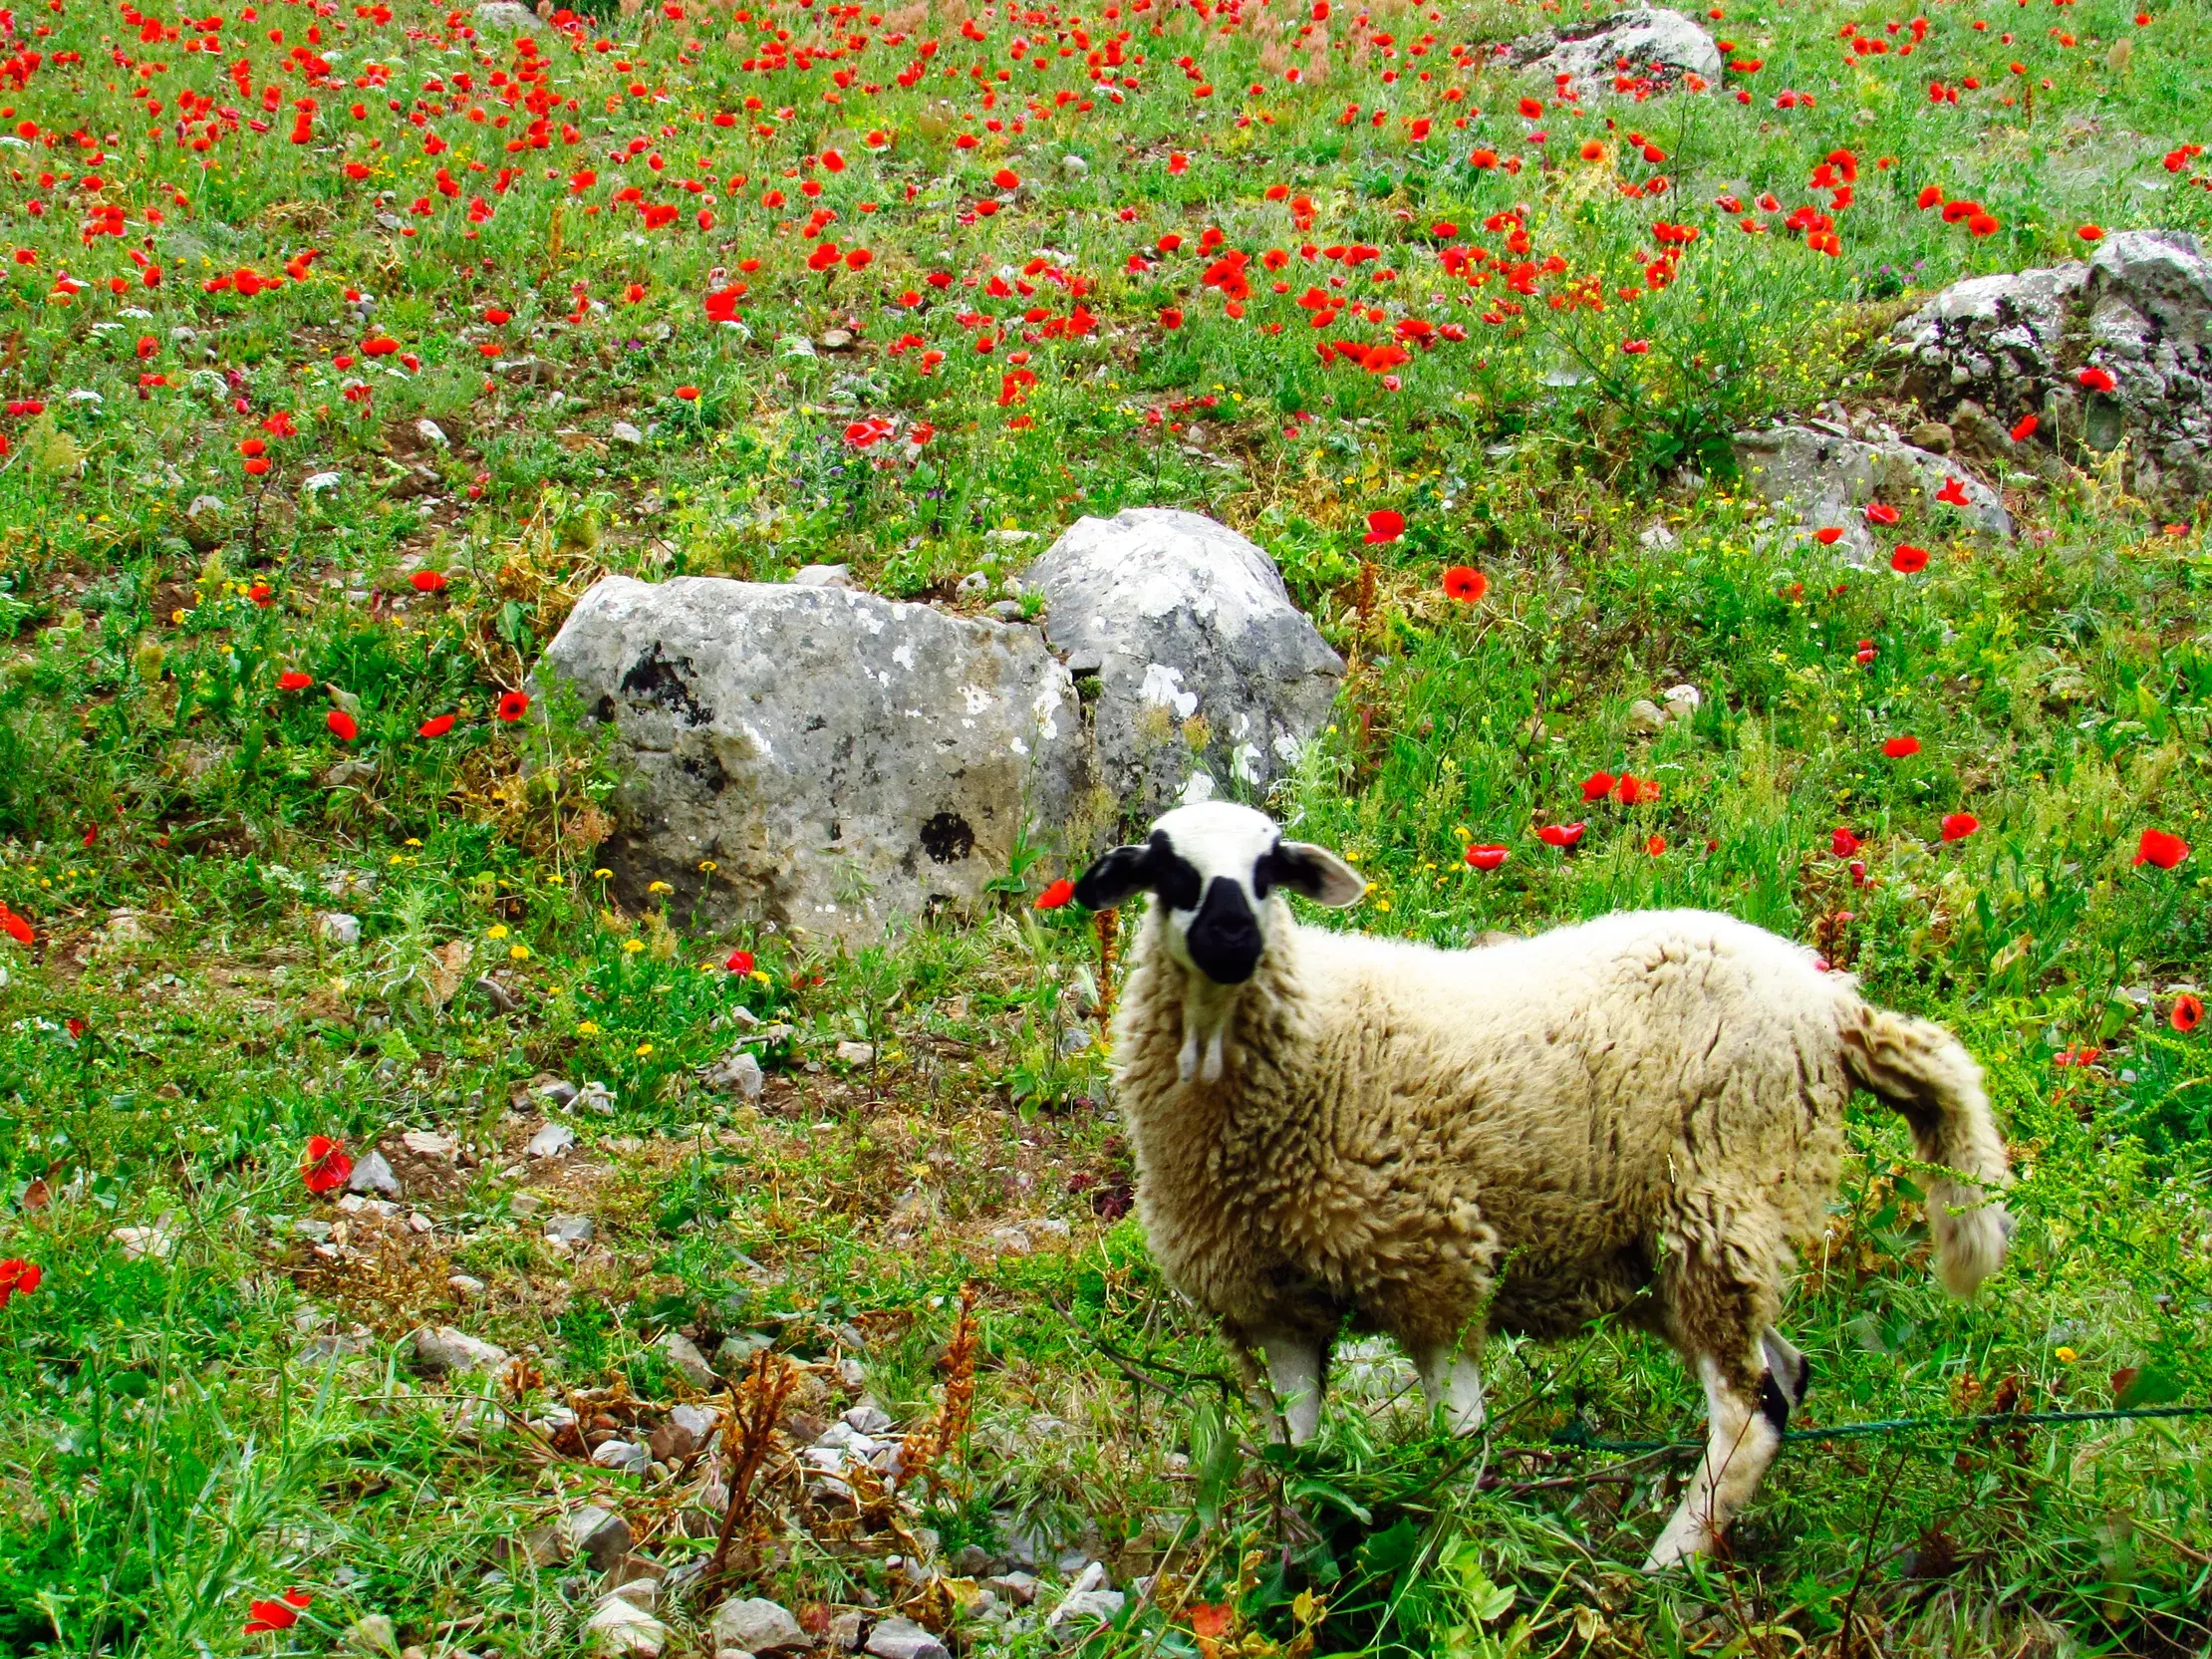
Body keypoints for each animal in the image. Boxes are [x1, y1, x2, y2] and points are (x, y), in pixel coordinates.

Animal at [1073, 800, 2012, 1570]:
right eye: (1167, 868)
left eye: (1270, 865)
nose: (1234, 936)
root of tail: (1833, 1005)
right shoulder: (1275, 1305)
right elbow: (1296, 1464)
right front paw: (1297, 1575)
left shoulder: (1436, 1265)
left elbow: (1459, 1449)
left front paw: (1441, 1567)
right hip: (1679, 1249)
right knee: (1785, 1376)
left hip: (1718, 1195)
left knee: (1746, 1410)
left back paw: (1663, 1569)